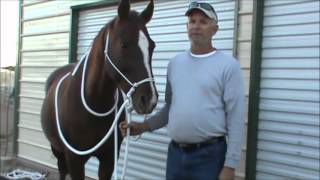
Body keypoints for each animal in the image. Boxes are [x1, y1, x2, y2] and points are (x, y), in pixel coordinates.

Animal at [40, 0, 158, 179]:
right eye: (124, 44)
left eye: (152, 46)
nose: (149, 99)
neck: (94, 103)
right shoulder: (74, 160)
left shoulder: (109, 159)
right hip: (57, 150)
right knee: (62, 170)